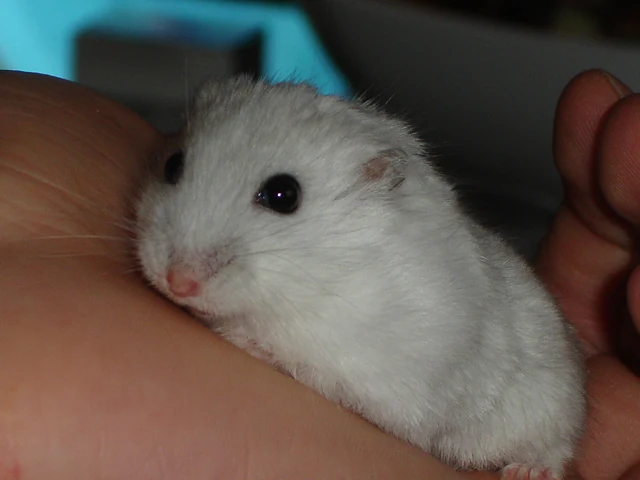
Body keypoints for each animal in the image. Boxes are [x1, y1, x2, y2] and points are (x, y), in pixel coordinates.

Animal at [135, 76, 586, 479]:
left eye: (284, 195)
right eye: (173, 165)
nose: (177, 281)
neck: (315, 274)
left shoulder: (380, 382)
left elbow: (305, 366)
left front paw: (240, 337)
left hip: (552, 405)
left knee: (556, 449)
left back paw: (527, 471)